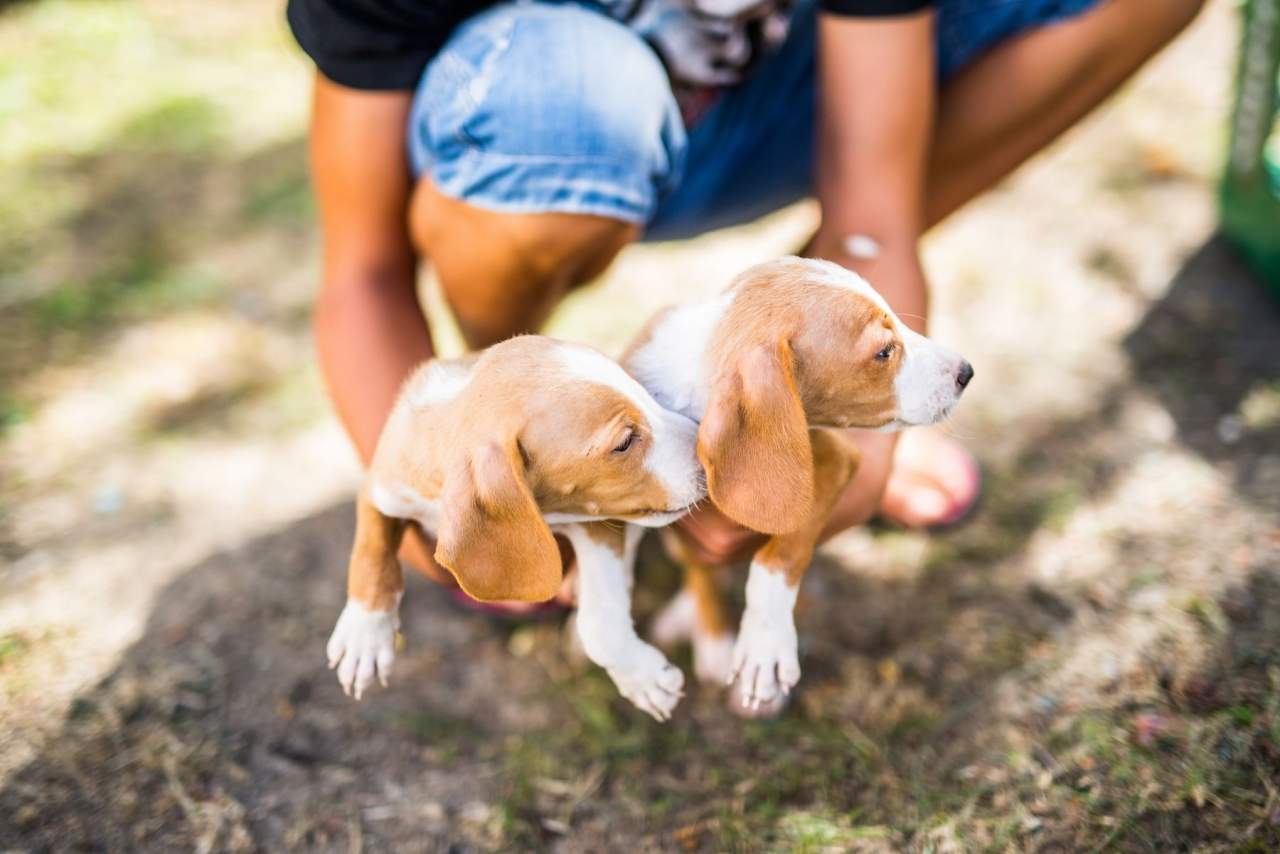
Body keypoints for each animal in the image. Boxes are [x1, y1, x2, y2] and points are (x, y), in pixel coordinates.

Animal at [325, 332, 706, 722]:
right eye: (625, 442)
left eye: (646, 393)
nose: (706, 446)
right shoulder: (379, 485)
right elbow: (371, 550)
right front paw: (364, 636)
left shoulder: (598, 521)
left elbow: (601, 622)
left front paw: (644, 679)